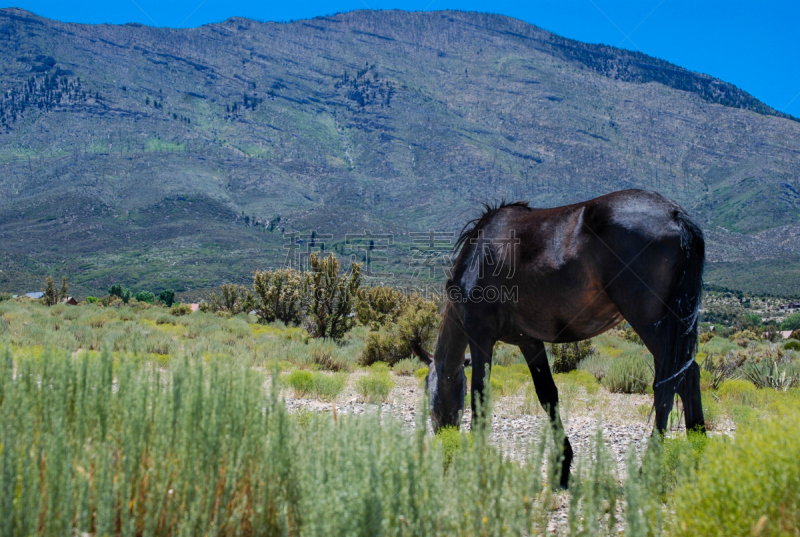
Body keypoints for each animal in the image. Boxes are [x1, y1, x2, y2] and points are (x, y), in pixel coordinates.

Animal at [412, 188, 708, 486]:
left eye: (428, 393)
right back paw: (699, 453)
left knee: (672, 382)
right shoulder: (529, 341)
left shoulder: (480, 335)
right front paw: (564, 465)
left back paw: (649, 469)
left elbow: (480, 396)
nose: (443, 438)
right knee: (685, 377)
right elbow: (548, 396)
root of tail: (674, 214)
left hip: (651, 324)